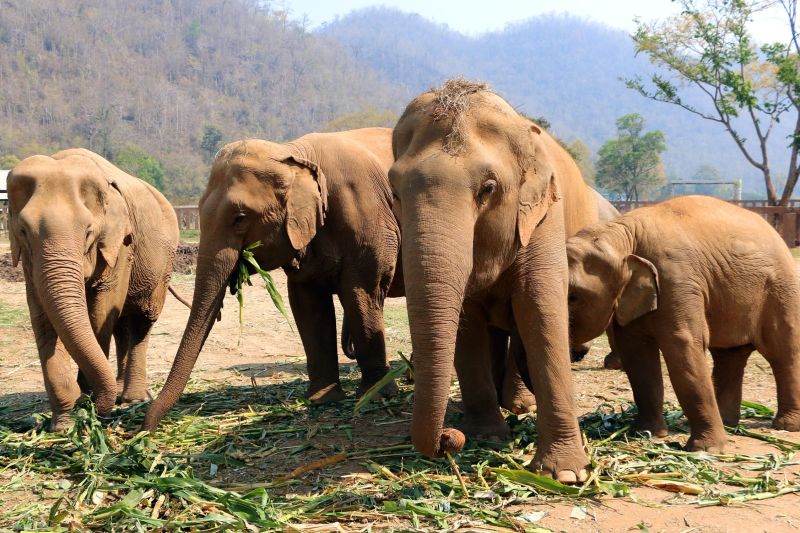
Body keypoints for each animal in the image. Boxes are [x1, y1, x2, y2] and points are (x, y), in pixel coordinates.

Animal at [7, 148, 179, 430]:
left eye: (88, 232)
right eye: (23, 230)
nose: (88, 407)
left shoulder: (120, 246)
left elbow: (100, 311)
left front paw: (87, 403)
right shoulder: (28, 261)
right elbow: (40, 314)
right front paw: (64, 424)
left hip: (164, 263)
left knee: (142, 320)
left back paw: (132, 399)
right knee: (122, 324)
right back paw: (119, 392)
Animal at [142, 127, 401, 430]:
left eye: (240, 218)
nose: (144, 430)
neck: (293, 153)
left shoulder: (367, 221)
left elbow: (361, 293)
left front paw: (376, 397)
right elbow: (307, 304)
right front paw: (321, 400)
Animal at [390, 79, 597, 482]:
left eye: (488, 189)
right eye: (395, 189)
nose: (448, 439)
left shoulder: (544, 216)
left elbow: (540, 311)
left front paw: (566, 475)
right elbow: (466, 322)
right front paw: (486, 436)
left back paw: (520, 404)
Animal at [566, 195, 800, 452]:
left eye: (573, 297)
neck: (623, 234)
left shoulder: (676, 279)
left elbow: (683, 346)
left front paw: (705, 449)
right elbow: (637, 356)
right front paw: (644, 433)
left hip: (780, 290)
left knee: (782, 350)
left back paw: (785, 426)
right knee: (730, 355)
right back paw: (727, 422)